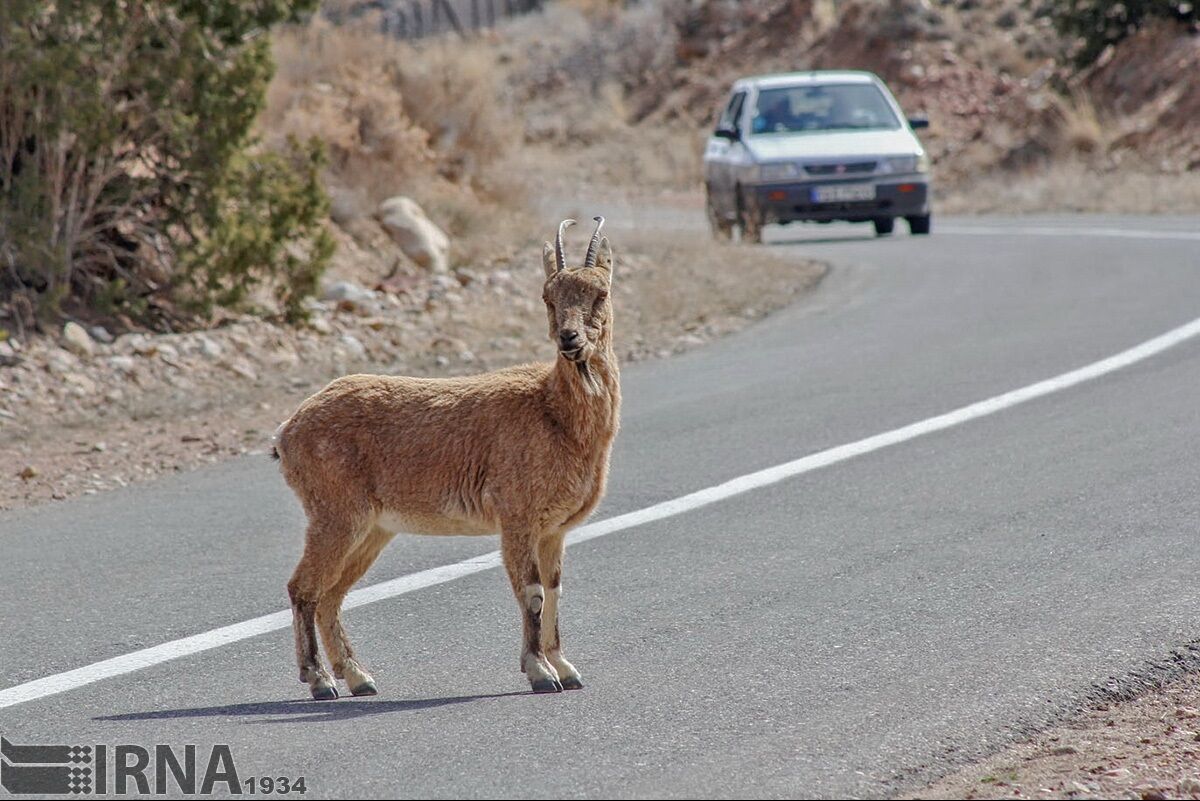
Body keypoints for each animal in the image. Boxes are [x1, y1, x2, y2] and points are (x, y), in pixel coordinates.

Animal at [272, 215, 619, 695]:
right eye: (548, 297)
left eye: (599, 294)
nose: (569, 339)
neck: (555, 414)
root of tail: (287, 430)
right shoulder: (517, 517)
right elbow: (531, 593)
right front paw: (540, 672)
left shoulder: (554, 530)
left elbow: (553, 591)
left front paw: (565, 667)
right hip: (336, 515)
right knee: (303, 587)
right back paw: (320, 680)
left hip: (372, 529)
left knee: (331, 594)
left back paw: (359, 677)